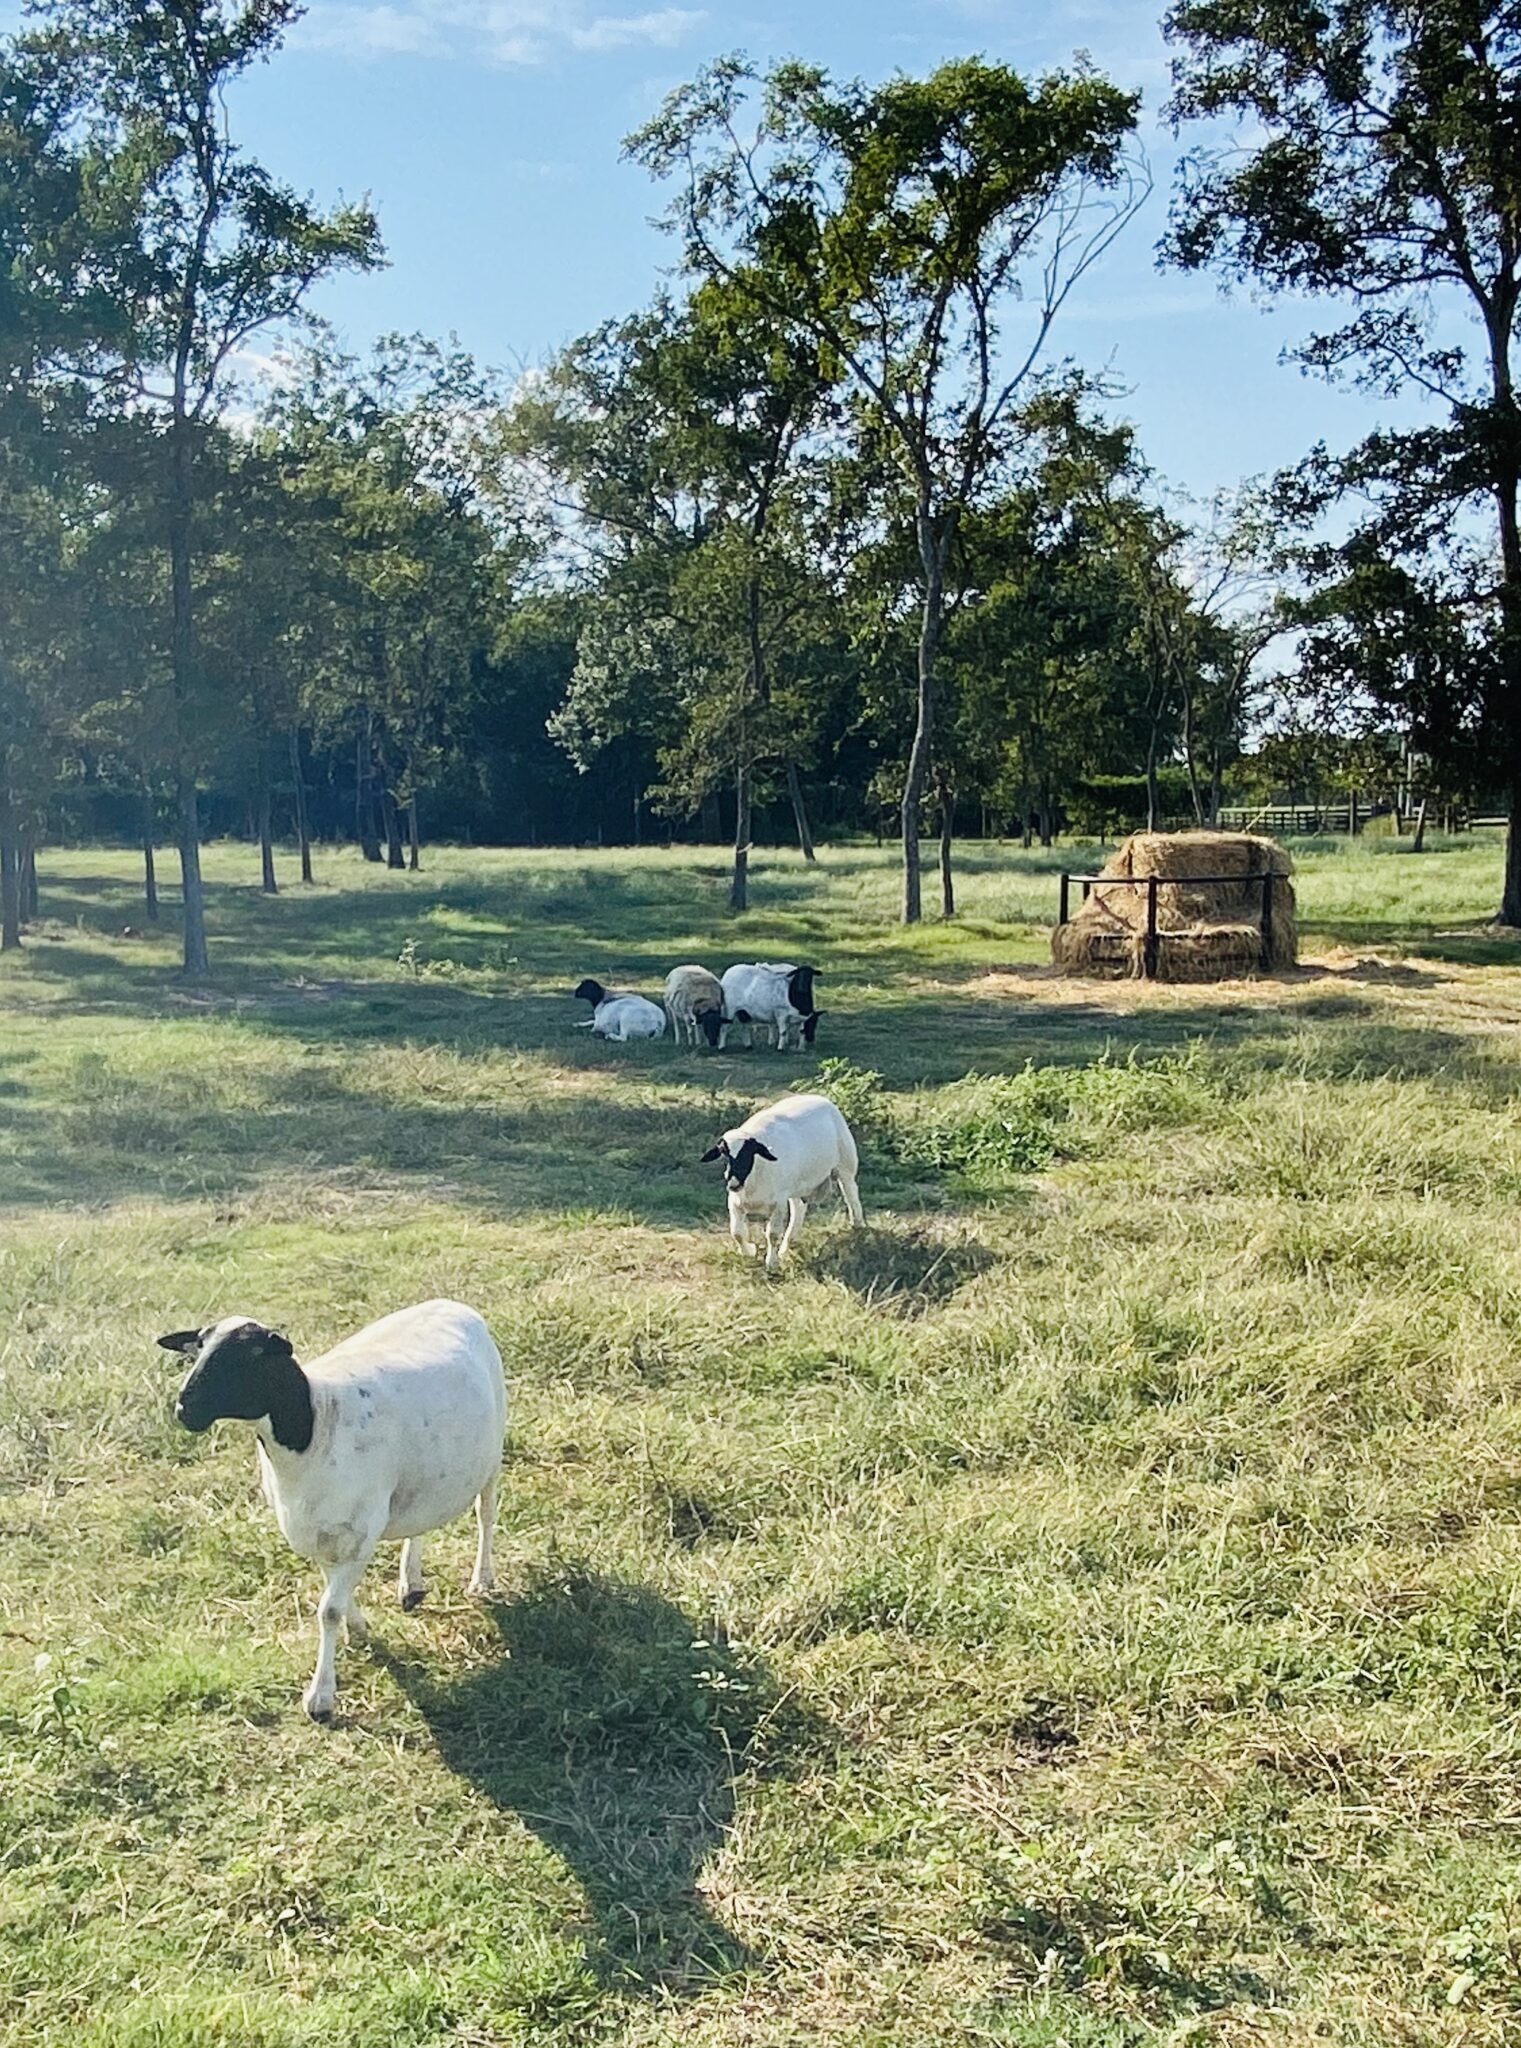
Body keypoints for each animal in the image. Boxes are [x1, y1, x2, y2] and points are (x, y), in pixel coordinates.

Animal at [160, 1298, 507, 1722]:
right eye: (197, 1348)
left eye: (252, 1354)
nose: (184, 1409)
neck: (315, 1426)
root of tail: (451, 1303)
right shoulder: (317, 1531)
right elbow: (334, 1597)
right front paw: (357, 1627)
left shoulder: (358, 1534)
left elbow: (328, 1609)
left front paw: (321, 1698)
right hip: (421, 1472)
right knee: (420, 1518)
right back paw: (411, 1582)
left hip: (493, 1452)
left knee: (485, 1515)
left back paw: (481, 1580)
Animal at [701, 1091, 864, 1270]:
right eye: (723, 1154)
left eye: (748, 1154)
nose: (733, 1184)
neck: (756, 1174)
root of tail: (820, 1098)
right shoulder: (735, 1202)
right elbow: (736, 1232)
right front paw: (750, 1251)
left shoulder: (778, 1203)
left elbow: (772, 1234)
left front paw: (771, 1263)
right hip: (798, 1185)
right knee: (799, 1210)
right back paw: (786, 1248)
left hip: (845, 1165)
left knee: (851, 1195)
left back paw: (858, 1227)